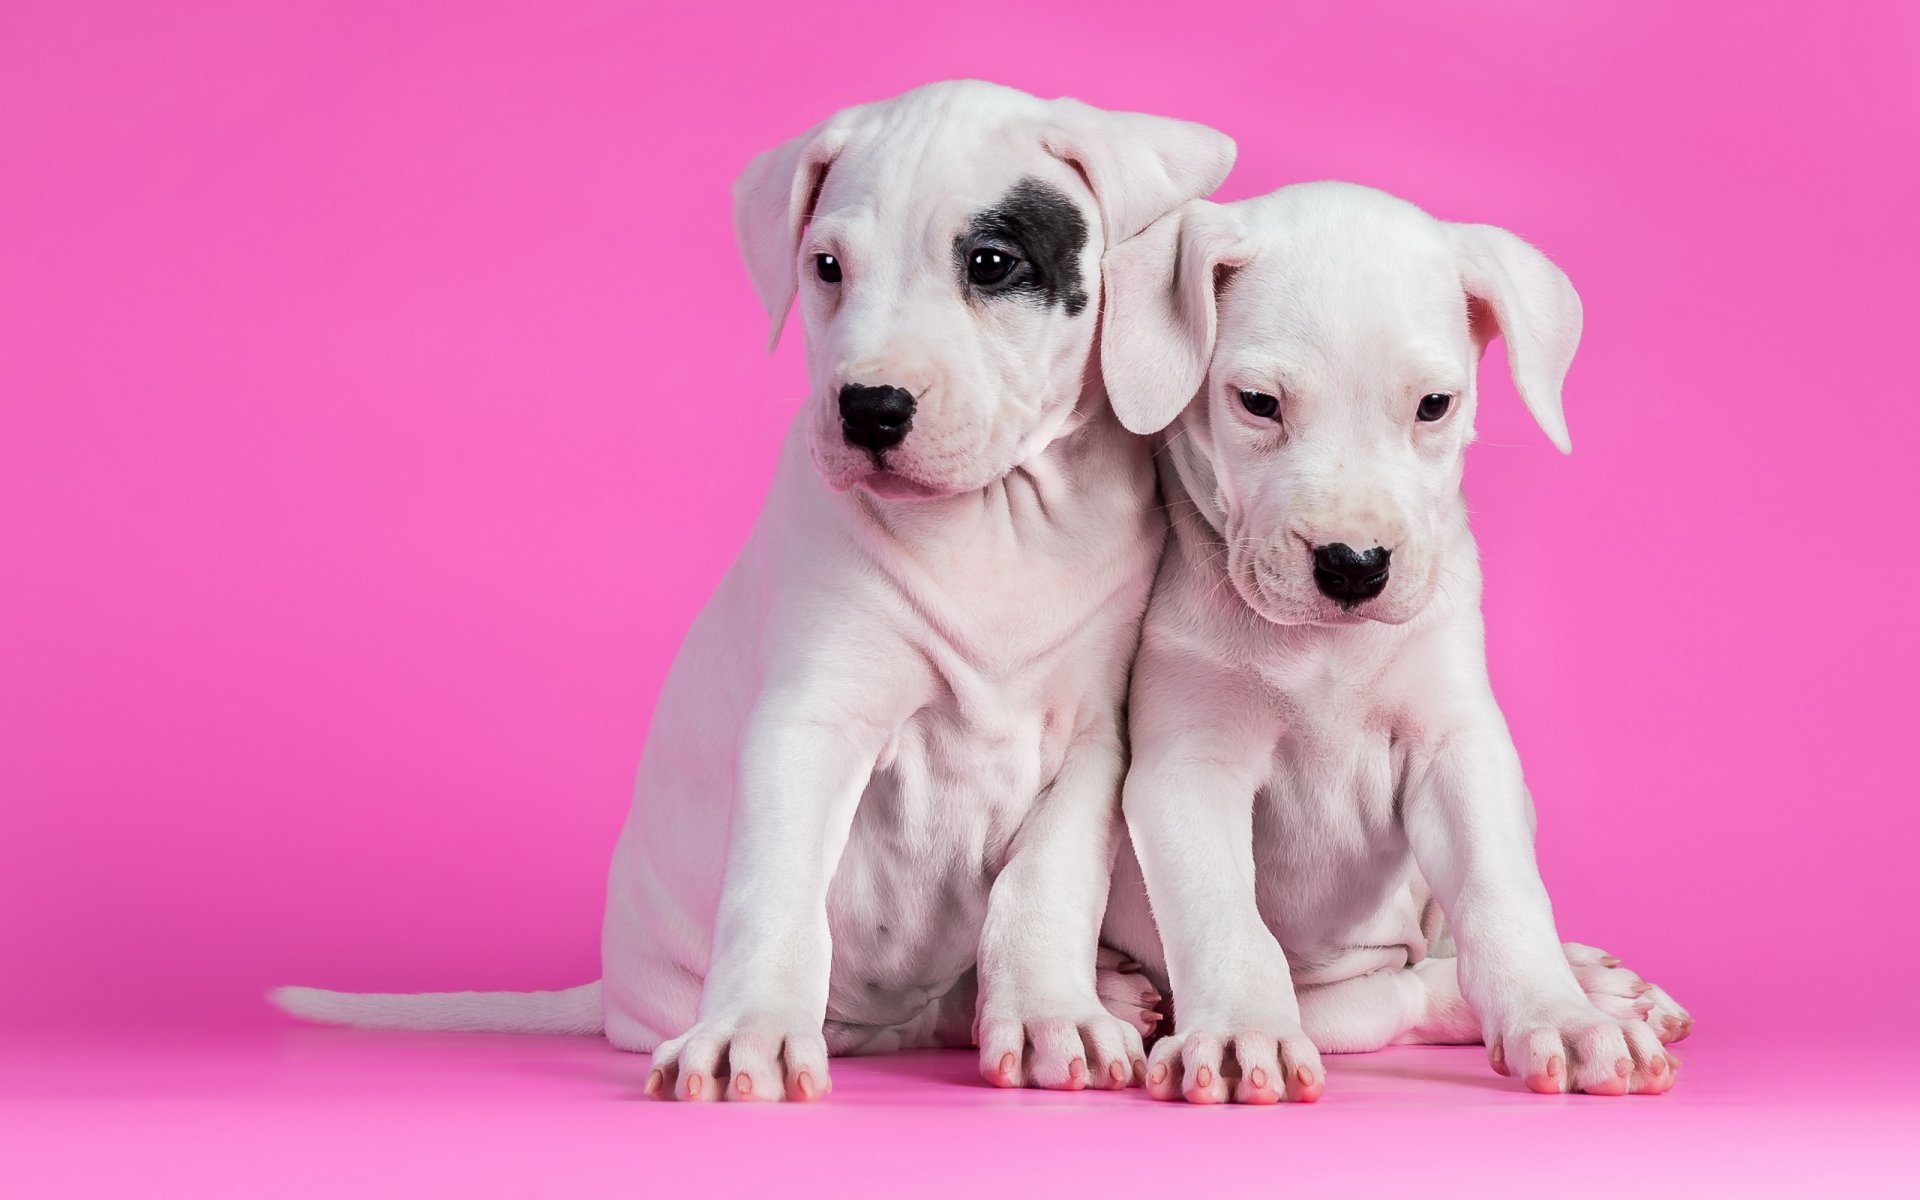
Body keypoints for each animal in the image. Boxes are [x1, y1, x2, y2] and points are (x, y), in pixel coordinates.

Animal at [270, 79, 1228, 1098]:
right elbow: (778, 885)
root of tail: (613, 985)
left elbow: (1045, 885)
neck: (993, 525)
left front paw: (1056, 1012)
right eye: (827, 268)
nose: (869, 409)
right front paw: (753, 1031)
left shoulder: (1090, 742)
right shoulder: (810, 724)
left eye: (992, 262)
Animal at [1098, 182, 1697, 1098]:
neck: (1323, 653)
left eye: (1434, 406)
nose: (1353, 565)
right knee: (1385, 998)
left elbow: (1499, 892)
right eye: (1258, 403)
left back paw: (1591, 986)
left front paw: (1560, 1015)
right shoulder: (1186, 769)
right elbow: (1222, 912)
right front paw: (1239, 1030)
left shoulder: (1457, 745)